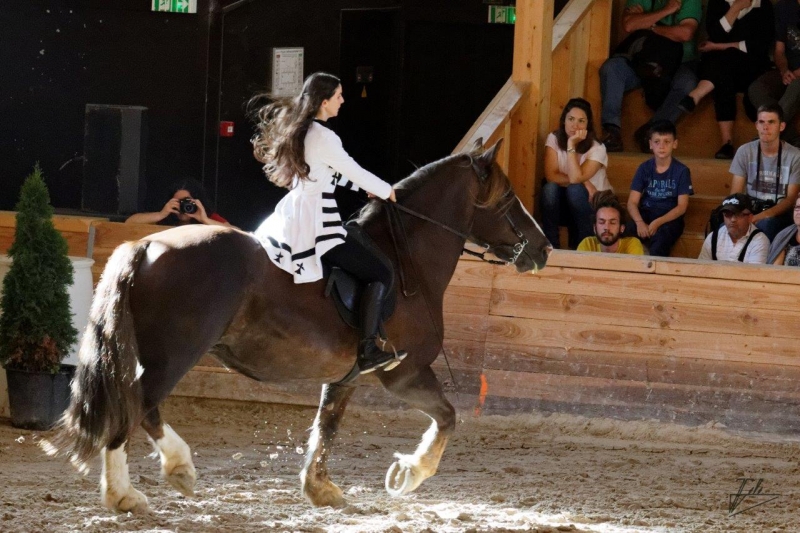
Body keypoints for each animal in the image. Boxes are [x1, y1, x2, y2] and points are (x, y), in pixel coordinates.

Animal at [43, 140, 552, 512]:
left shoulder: (348, 375)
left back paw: (128, 490)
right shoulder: (403, 373)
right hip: (175, 354)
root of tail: (148, 246)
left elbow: (326, 428)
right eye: (508, 198)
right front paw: (410, 474)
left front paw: (320, 488)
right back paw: (150, 482)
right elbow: (446, 417)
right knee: (138, 406)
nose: (543, 249)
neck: (405, 259)